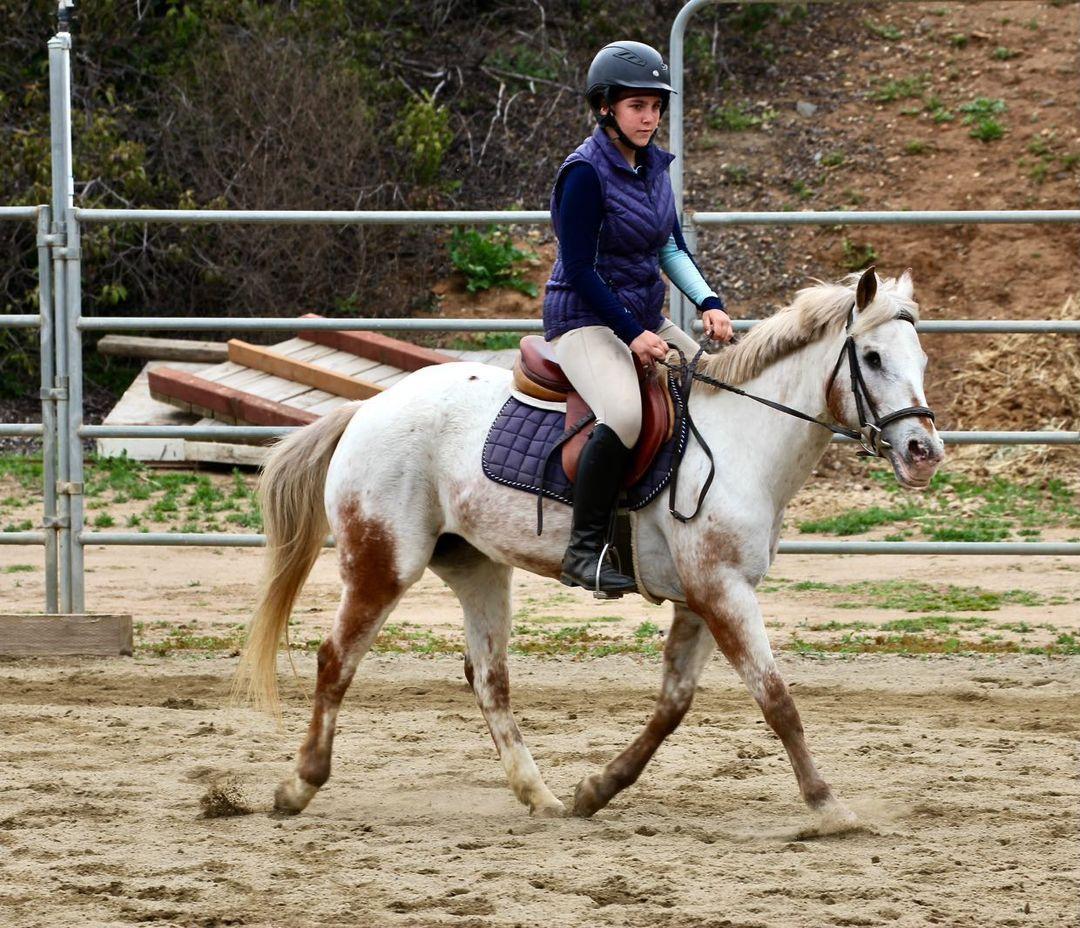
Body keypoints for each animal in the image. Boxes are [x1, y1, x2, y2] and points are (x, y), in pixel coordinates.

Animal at [233, 267, 943, 828]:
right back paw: (299, 786)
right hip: (382, 565)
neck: (742, 438)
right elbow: (777, 701)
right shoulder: (723, 592)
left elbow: (673, 705)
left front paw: (597, 789)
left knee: (488, 678)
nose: (923, 452)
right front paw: (829, 807)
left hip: (478, 569)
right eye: (872, 358)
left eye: (921, 360)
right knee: (336, 660)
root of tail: (368, 408)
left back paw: (540, 796)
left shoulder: (703, 596)